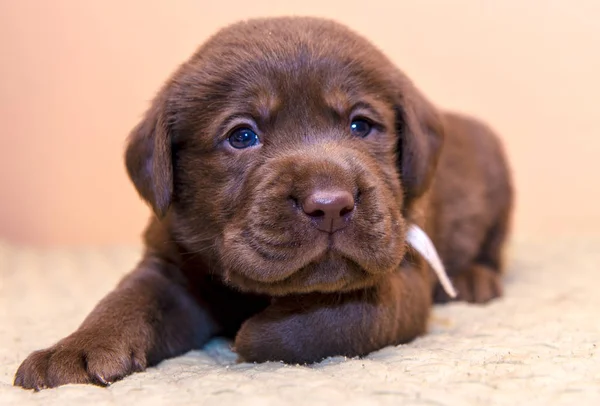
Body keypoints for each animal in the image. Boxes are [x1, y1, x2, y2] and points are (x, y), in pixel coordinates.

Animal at [12, 16, 510, 390]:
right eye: (242, 136)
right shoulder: (170, 265)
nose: (330, 205)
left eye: (362, 126)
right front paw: (74, 349)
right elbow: (125, 301)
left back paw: (474, 279)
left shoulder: (402, 273)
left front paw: (253, 333)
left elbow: (340, 318)